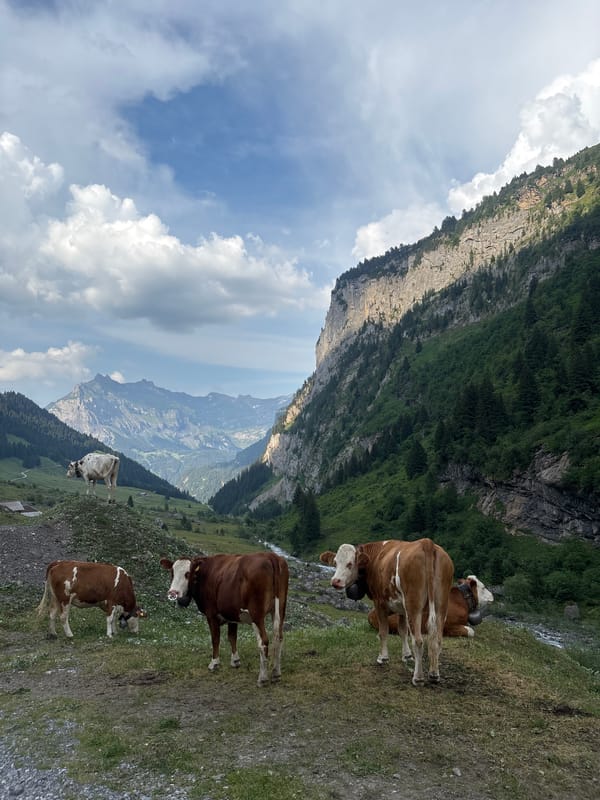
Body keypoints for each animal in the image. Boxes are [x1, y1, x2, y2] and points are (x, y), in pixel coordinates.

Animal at [160, 552, 289, 687]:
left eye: (187, 573)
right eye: (172, 572)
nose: (173, 593)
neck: (205, 573)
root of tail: (270, 556)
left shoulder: (211, 614)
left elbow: (215, 639)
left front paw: (214, 663)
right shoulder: (232, 613)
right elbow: (232, 637)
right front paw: (235, 661)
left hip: (256, 614)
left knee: (263, 641)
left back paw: (263, 678)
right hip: (280, 609)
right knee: (278, 637)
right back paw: (276, 673)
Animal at [320, 538, 454, 686]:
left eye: (350, 564)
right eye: (335, 563)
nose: (335, 581)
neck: (375, 557)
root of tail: (426, 542)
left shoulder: (379, 604)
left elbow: (383, 632)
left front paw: (383, 657)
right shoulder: (402, 609)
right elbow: (402, 631)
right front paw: (407, 655)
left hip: (414, 605)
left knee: (418, 641)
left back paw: (418, 677)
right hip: (441, 605)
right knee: (437, 639)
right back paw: (434, 674)